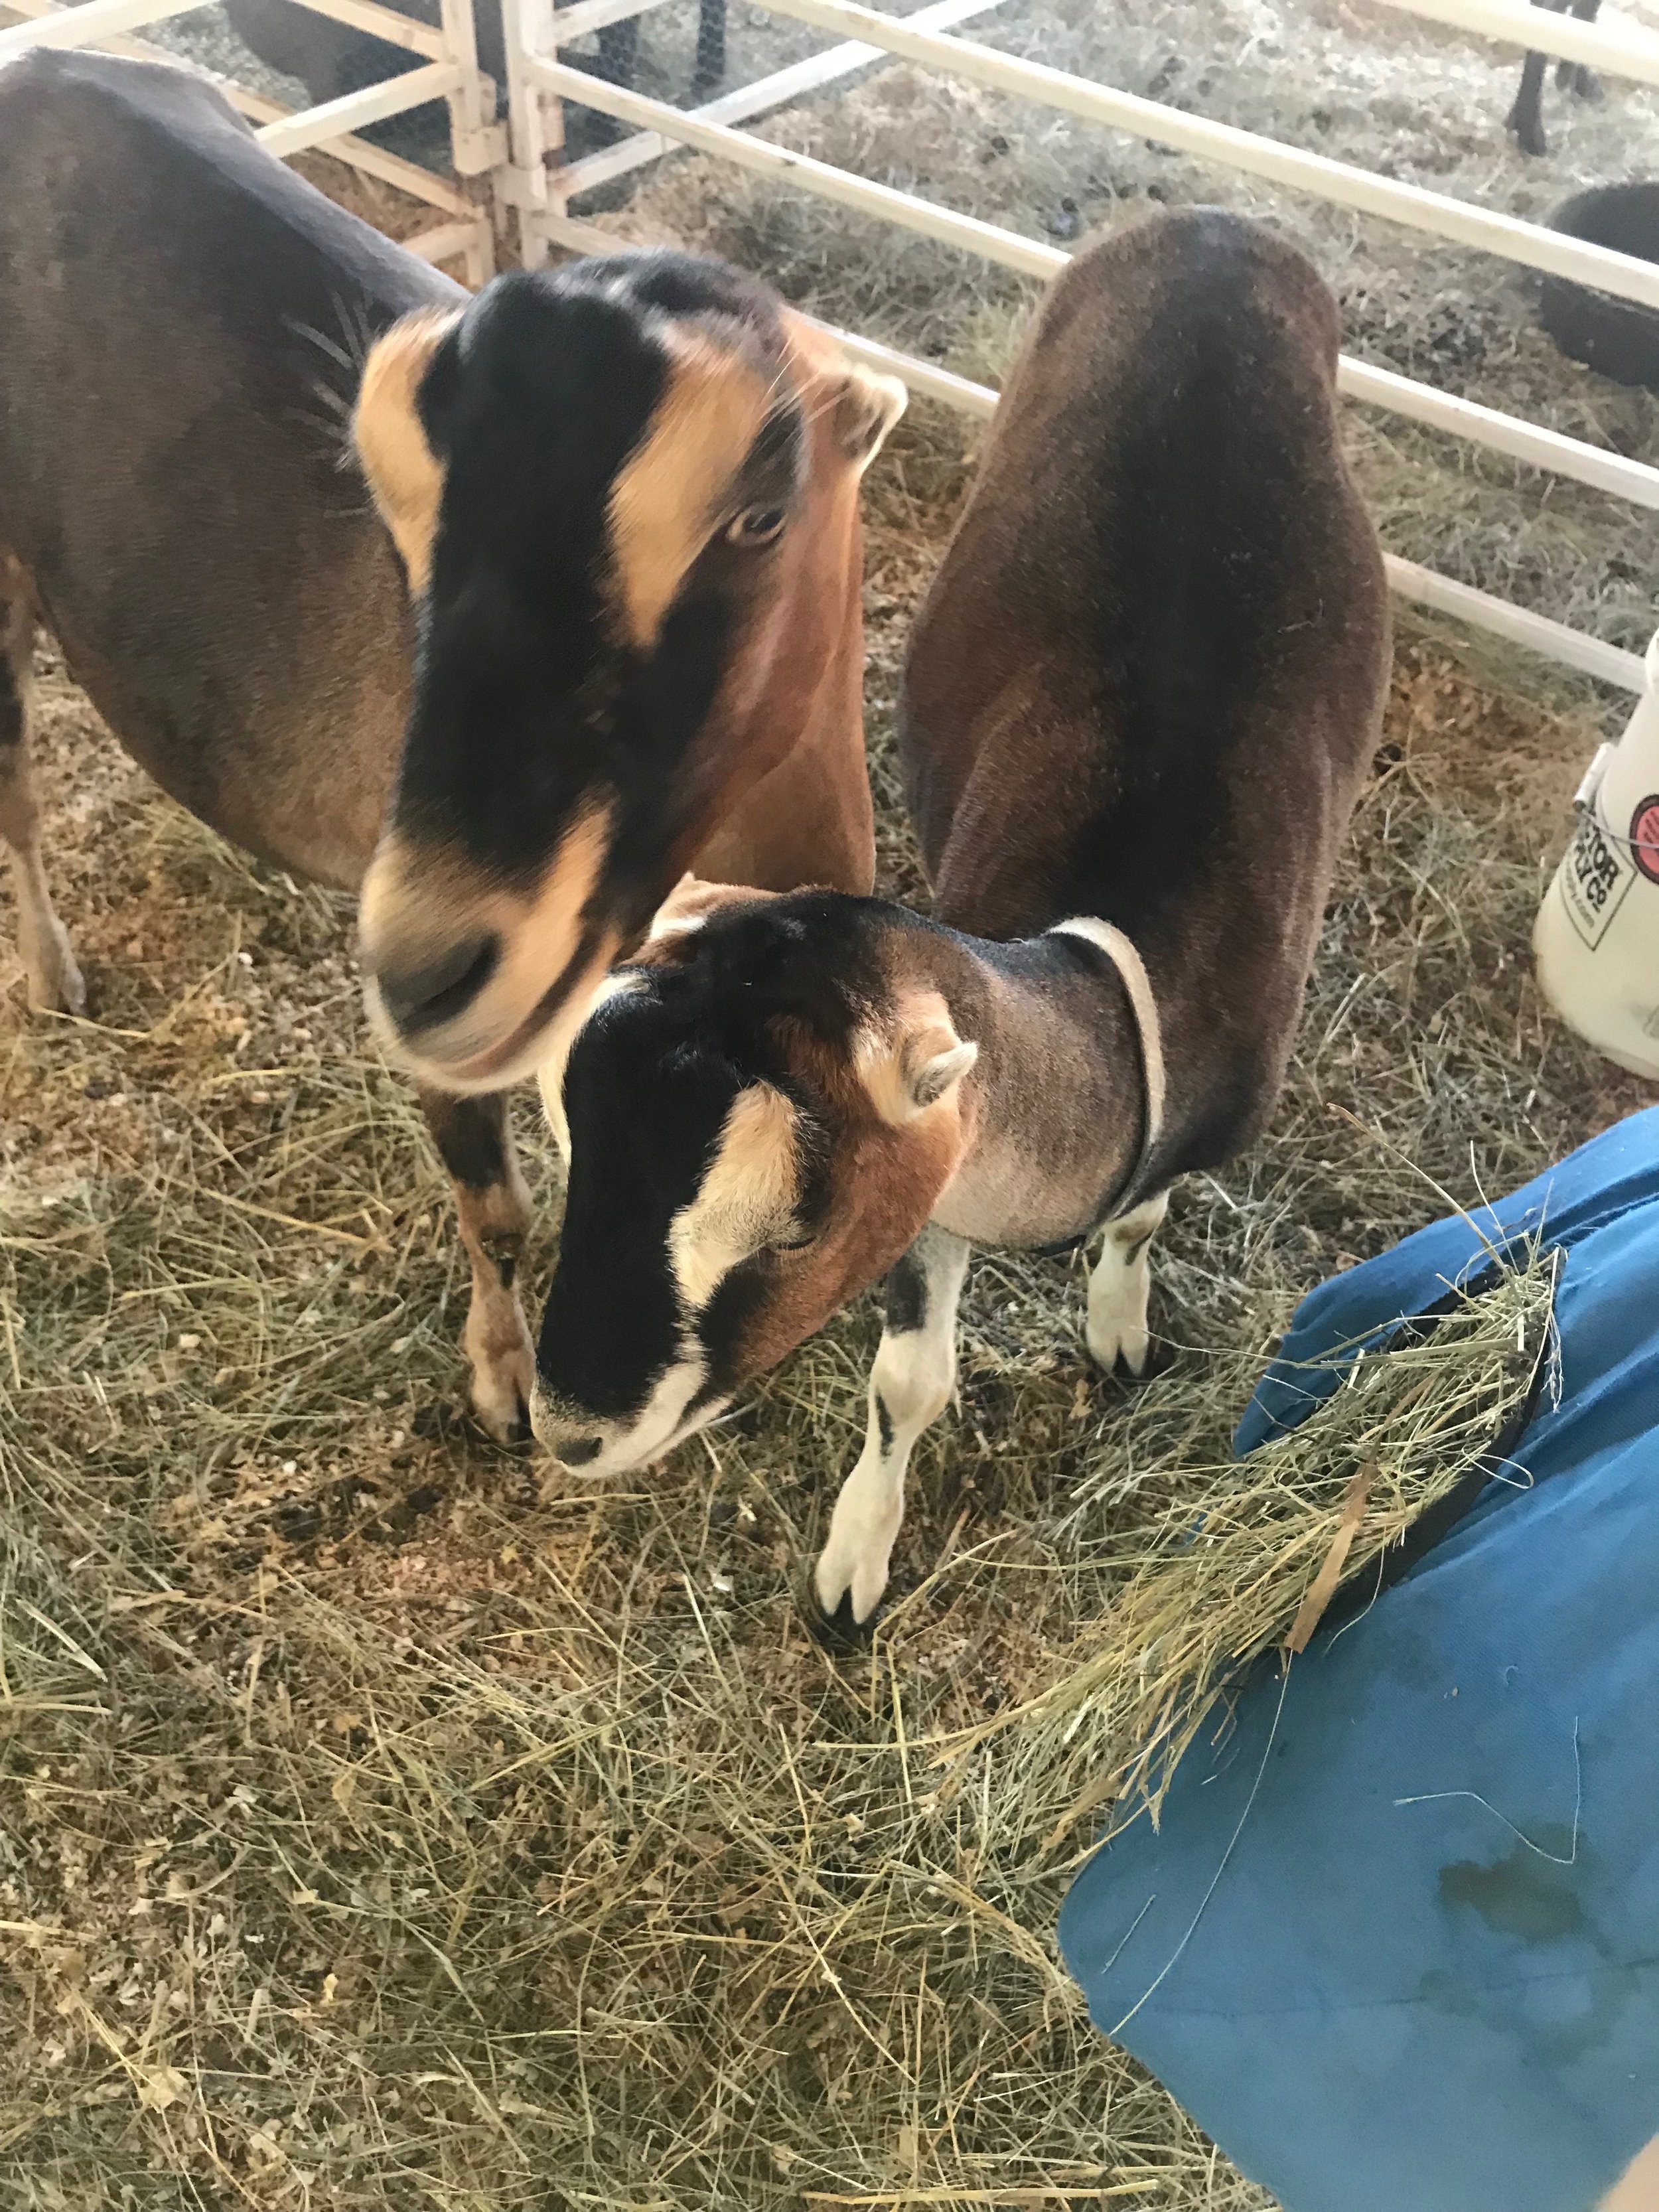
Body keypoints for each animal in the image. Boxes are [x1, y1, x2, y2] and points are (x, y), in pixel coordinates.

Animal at [0, 49, 902, 1437]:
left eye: (759, 514)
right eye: (399, 517)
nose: (424, 969)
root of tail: (43, 63)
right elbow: (499, 1203)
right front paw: (505, 1375)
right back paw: (51, 970)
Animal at [528, 209, 1391, 1633]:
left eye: (798, 1222)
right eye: (572, 1142)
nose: (568, 1429)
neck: (1120, 970)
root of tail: (1214, 222)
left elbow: (1138, 1227)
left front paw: (1117, 1320)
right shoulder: (943, 1186)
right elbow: (909, 1383)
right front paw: (857, 1561)